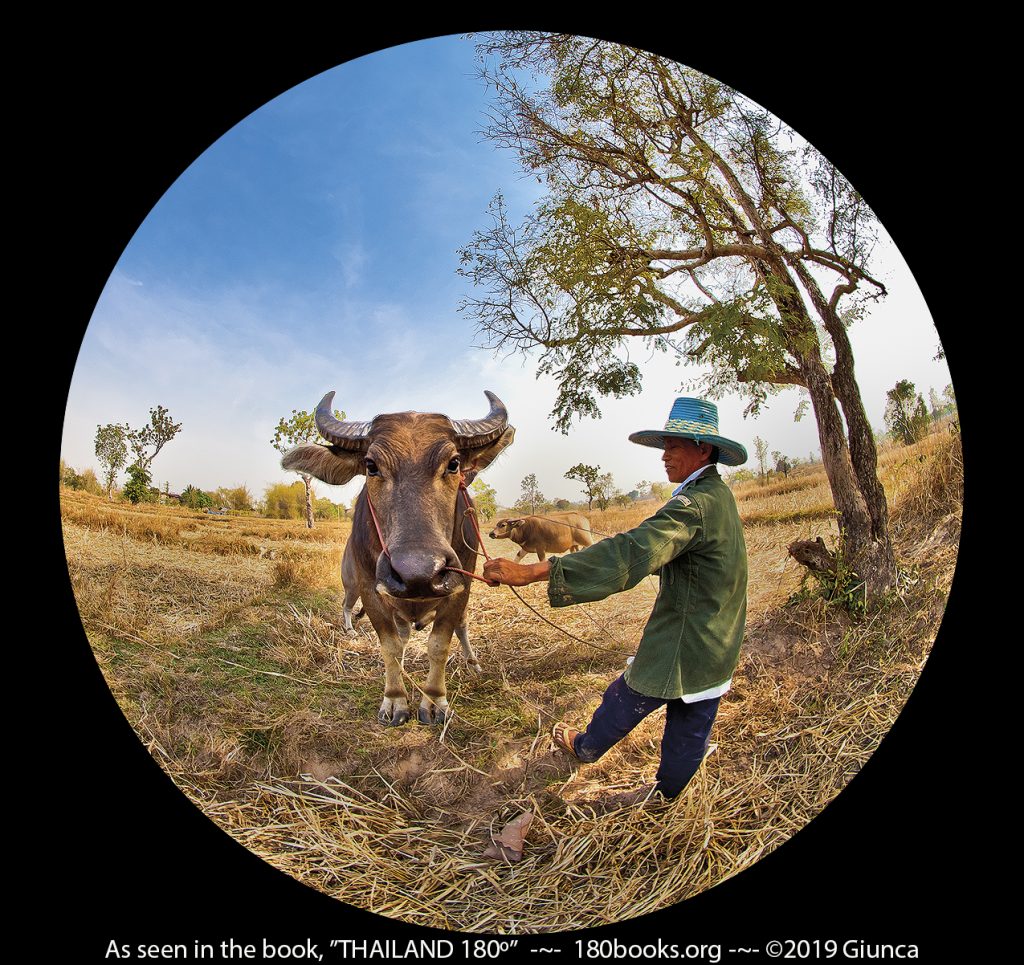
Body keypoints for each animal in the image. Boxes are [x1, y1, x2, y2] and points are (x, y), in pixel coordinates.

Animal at [282, 391, 512, 725]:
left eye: (454, 463)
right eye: (371, 465)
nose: (419, 573)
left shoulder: (460, 587)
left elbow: (439, 644)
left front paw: (434, 700)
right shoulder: (371, 589)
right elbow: (389, 645)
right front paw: (395, 699)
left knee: (461, 627)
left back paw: (472, 663)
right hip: (353, 586)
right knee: (359, 613)